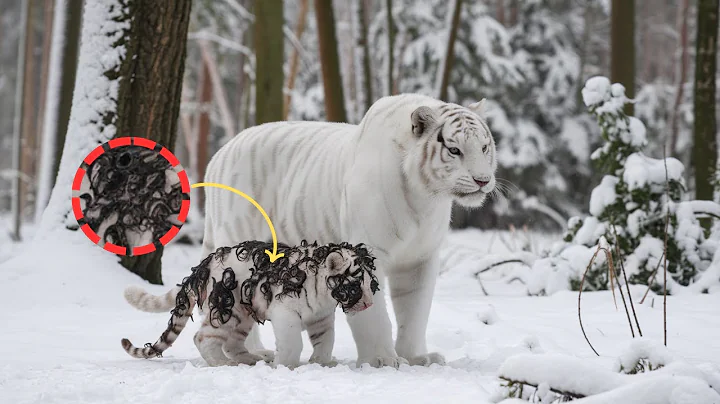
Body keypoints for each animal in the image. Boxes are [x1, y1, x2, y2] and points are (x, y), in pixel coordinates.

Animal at [121, 240, 379, 368]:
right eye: (356, 285)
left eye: (371, 284)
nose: (368, 304)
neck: (324, 294)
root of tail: (203, 265)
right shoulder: (286, 313)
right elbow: (292, 343)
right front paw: (284, 366)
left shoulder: (321, 318)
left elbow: (326, 340)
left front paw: (321, 362)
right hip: (226, 309)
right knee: (203, 337)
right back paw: (223, 364)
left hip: (242, 316)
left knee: (232, 343)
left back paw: (253, 359)